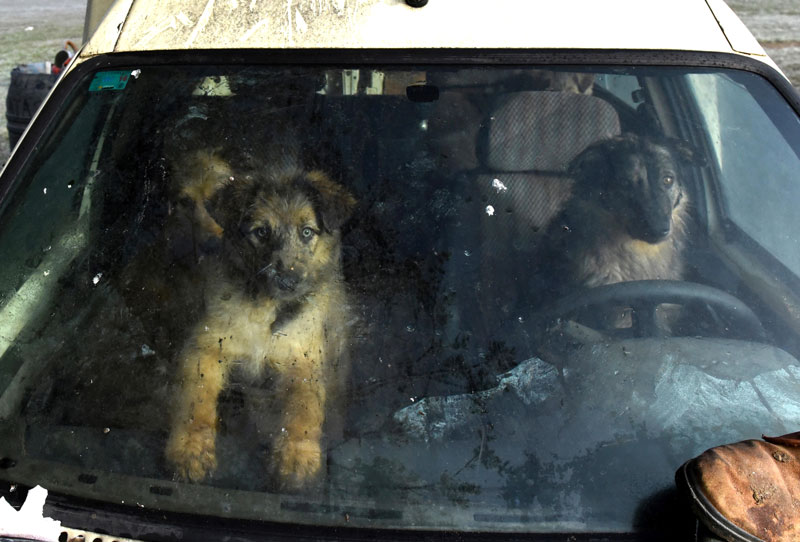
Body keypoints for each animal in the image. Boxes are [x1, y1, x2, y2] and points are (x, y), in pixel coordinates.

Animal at [164, 165, 354, 488]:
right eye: (261, 232)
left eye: (307, 232)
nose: (289, 281)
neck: (265, 309)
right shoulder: (205, 347)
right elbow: (195, 399)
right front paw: (190, 449)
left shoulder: (303, 359)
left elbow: (303, 408)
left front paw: (296, 456)